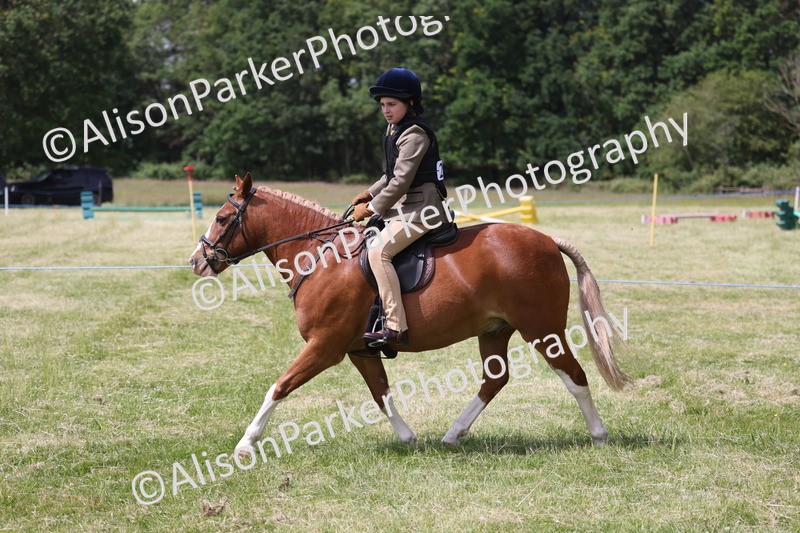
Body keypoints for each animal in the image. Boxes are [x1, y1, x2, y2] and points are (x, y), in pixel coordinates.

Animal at [189, 173, 630, 458]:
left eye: (223, 218)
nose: (197, 261)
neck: (321, 257)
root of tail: (547, 241)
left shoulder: (325, 346)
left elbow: (278, 387)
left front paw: (245, 444)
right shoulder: (359, 350)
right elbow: (381, 393)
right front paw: (408, 438)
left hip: (541, 329)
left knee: (574, 375)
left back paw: (599, 434)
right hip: (495, 331)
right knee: (494, 379)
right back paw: (453, 434)